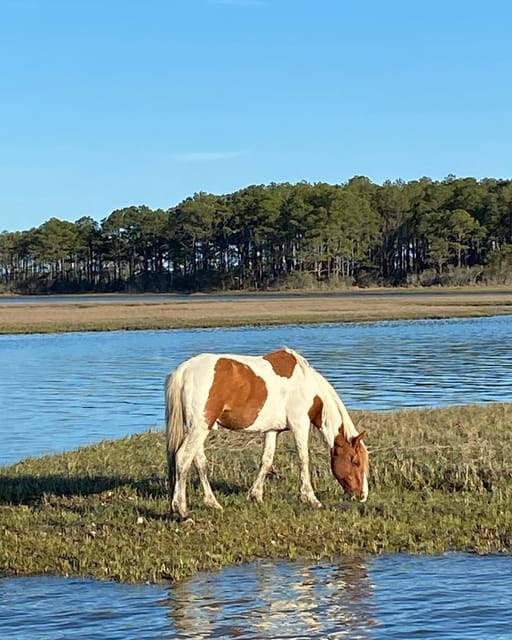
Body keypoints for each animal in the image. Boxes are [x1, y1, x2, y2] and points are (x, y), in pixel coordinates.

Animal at [165, 344, 368, 520]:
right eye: (355, 461)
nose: (363, 495)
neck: (305, 384)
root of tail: (184, 370)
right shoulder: (300, 424)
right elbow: (304, 459)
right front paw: (310, 498)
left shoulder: (272, 430)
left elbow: (266, 461)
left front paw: (256, 495)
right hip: (200, 428)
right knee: (183, 458)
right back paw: (181, 510)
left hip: (196, 428)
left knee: (199, 462)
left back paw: (212, 503)